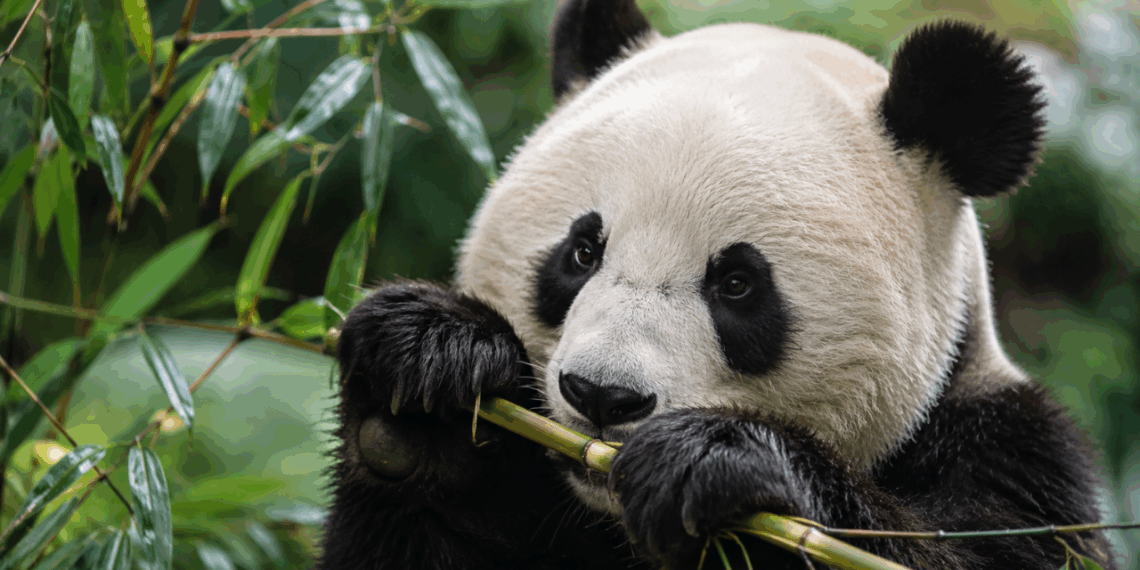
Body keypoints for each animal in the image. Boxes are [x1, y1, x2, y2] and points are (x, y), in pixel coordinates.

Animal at [320, 1, 1117, 569]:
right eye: (582, 251)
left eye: (736, 284)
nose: (602, 395)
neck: (609, 513)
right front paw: (425, 371)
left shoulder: (1015, 461)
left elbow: (966, 548)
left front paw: (712, 463)